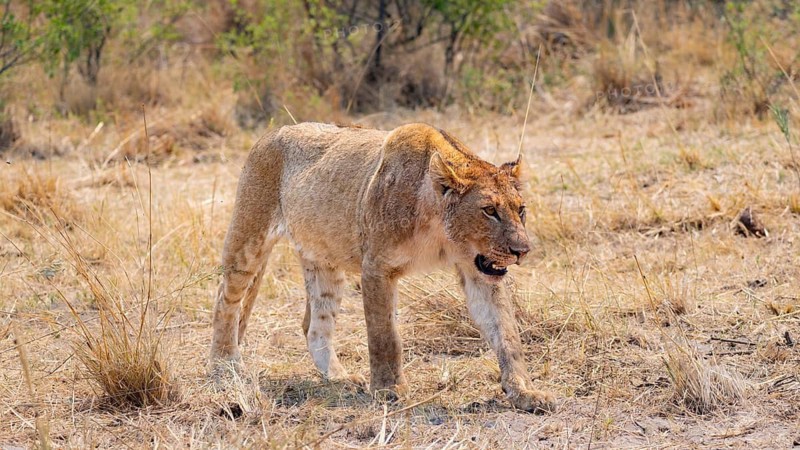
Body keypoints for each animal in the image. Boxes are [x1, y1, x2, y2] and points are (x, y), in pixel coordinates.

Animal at [209, 122, 555, 413]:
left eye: (520, 210)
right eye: (489, 211)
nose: (522, 251)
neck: (440, 233)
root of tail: (272, 131)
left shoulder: (479, 272)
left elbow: (506, 334)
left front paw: (525, 392)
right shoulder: (376, 267)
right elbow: (384, 335)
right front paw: (389, 390)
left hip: (324, 261)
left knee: (314, 324)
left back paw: (339, 378)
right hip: (249, 237)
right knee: (226, 302)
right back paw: (225, 367)